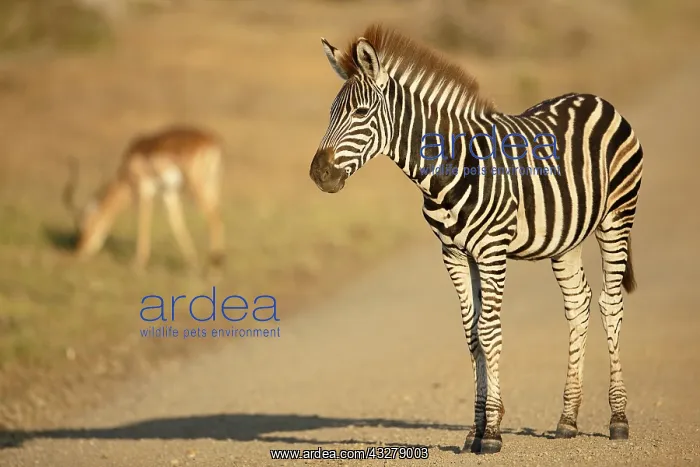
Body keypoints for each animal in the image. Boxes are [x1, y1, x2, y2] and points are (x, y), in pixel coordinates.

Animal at [309, 24, 643, 455]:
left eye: (361, 114)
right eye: (331, 113)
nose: (319, 174)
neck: (448, 168)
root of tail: (594, 98)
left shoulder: (491, 251)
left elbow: (489, 331)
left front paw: (494, 433)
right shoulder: (453, 253)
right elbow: (470, 333)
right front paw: (475, 429)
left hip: (617, 216)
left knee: (610, 305)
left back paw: (618, 418)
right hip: (565, 239)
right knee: (578, 304)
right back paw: (567, 419)